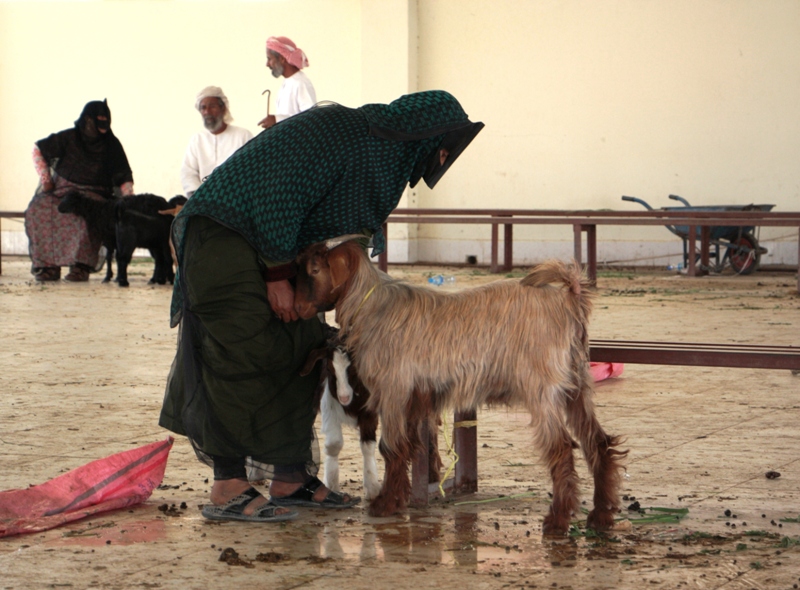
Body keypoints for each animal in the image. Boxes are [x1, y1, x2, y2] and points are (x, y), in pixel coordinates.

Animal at [302, 330, 444, 502]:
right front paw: (332, 484)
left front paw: (372, 488)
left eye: (354, 369)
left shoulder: (369, 413)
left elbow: (368, 446)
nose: (343, 397)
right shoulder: (329, 404)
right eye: (329, 369)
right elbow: (334, 444)